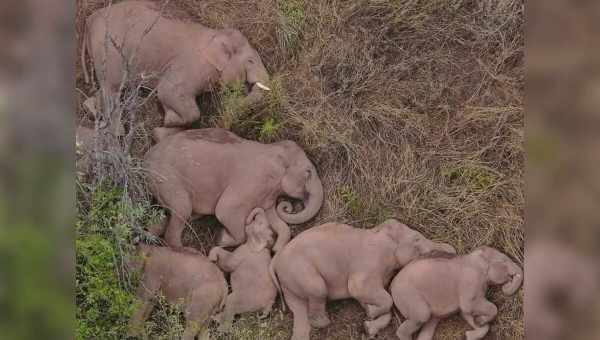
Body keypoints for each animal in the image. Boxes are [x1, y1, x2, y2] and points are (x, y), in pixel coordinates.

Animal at [79, 0, 270, 137]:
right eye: (251, 61)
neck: (216, 34)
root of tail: (89, 20)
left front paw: (165, 125)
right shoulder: (190, 66)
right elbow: (168, 92)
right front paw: (169, 120)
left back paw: (91, 110)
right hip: (108, 49)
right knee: (113, 88)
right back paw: (118, 132)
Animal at [144, 127, 324, 252]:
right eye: (308, 173)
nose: (289, 206)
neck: (272, 149)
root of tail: (145, 159)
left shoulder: (267, 193)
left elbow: (276, 219)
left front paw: (276, 247)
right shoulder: (252, 179)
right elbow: (225, 210)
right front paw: (220, 238)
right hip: (167, 178)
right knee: (182, 209)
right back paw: (188, 251)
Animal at [268, 218, 454, 340]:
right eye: (417, 239)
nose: (452, 250)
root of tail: (275, 260)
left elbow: (366, 298)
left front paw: (368, 323)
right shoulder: (370, 262)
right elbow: (360, 289)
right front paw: (370, 314)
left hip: (289, 283)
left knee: (298, 310)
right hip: (299, 269)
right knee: (318, 289)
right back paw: (323, 321)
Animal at [392, 246, 524, 340]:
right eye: (504, 260)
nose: (507, 284)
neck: (473, 257)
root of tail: (391, 286)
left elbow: (466, 313)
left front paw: (474, 328)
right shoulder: (470, 281)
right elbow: (470, 307)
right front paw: (480, 321)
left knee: (429, 326)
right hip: (408, 297)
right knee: (420, 317)